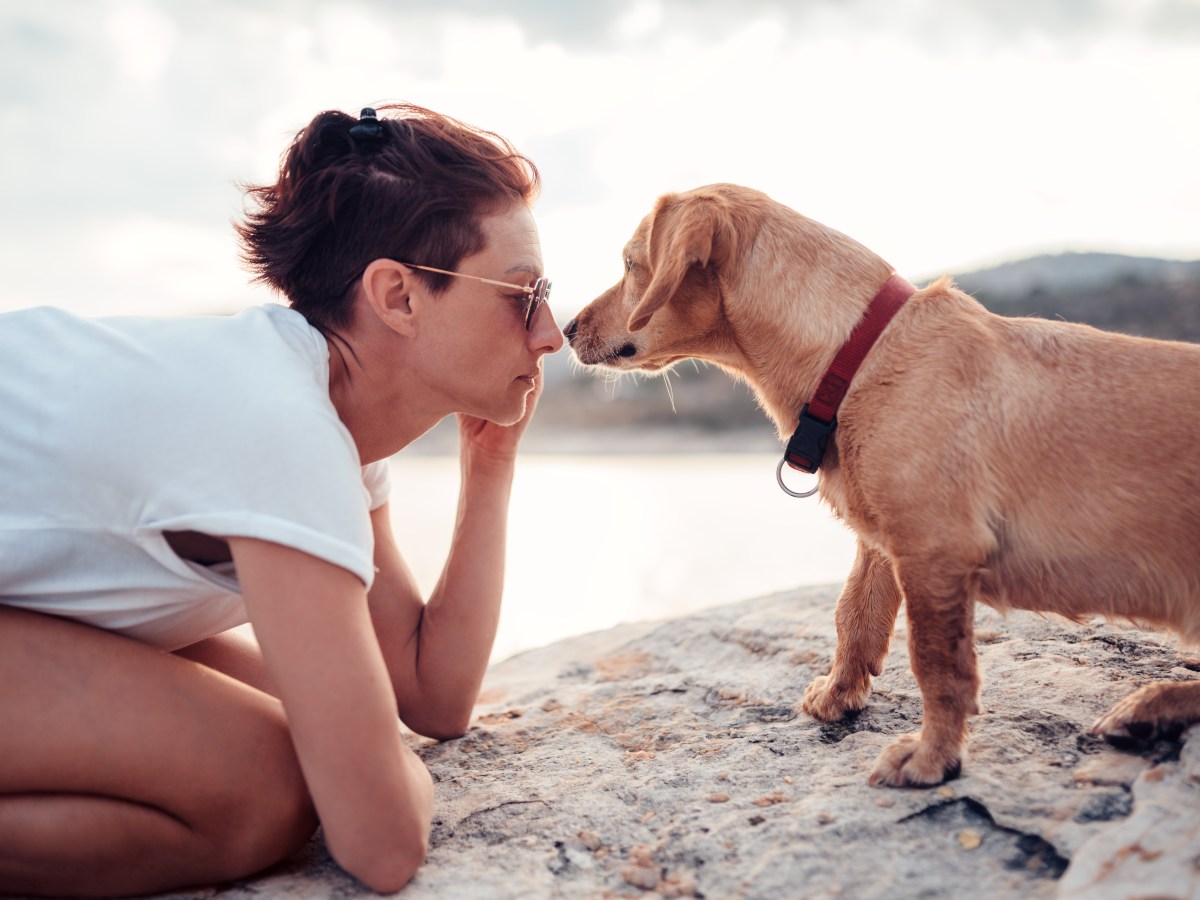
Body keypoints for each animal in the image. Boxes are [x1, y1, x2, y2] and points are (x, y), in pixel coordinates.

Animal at [566, 183, 1200, 787]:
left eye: (629, 264)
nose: (567, 329)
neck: (855, 355)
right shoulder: (884, 544)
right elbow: (855, 616)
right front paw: (838, 694)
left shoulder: (935, 552)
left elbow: (936, 665)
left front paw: (933, 756)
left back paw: (1150, 705)